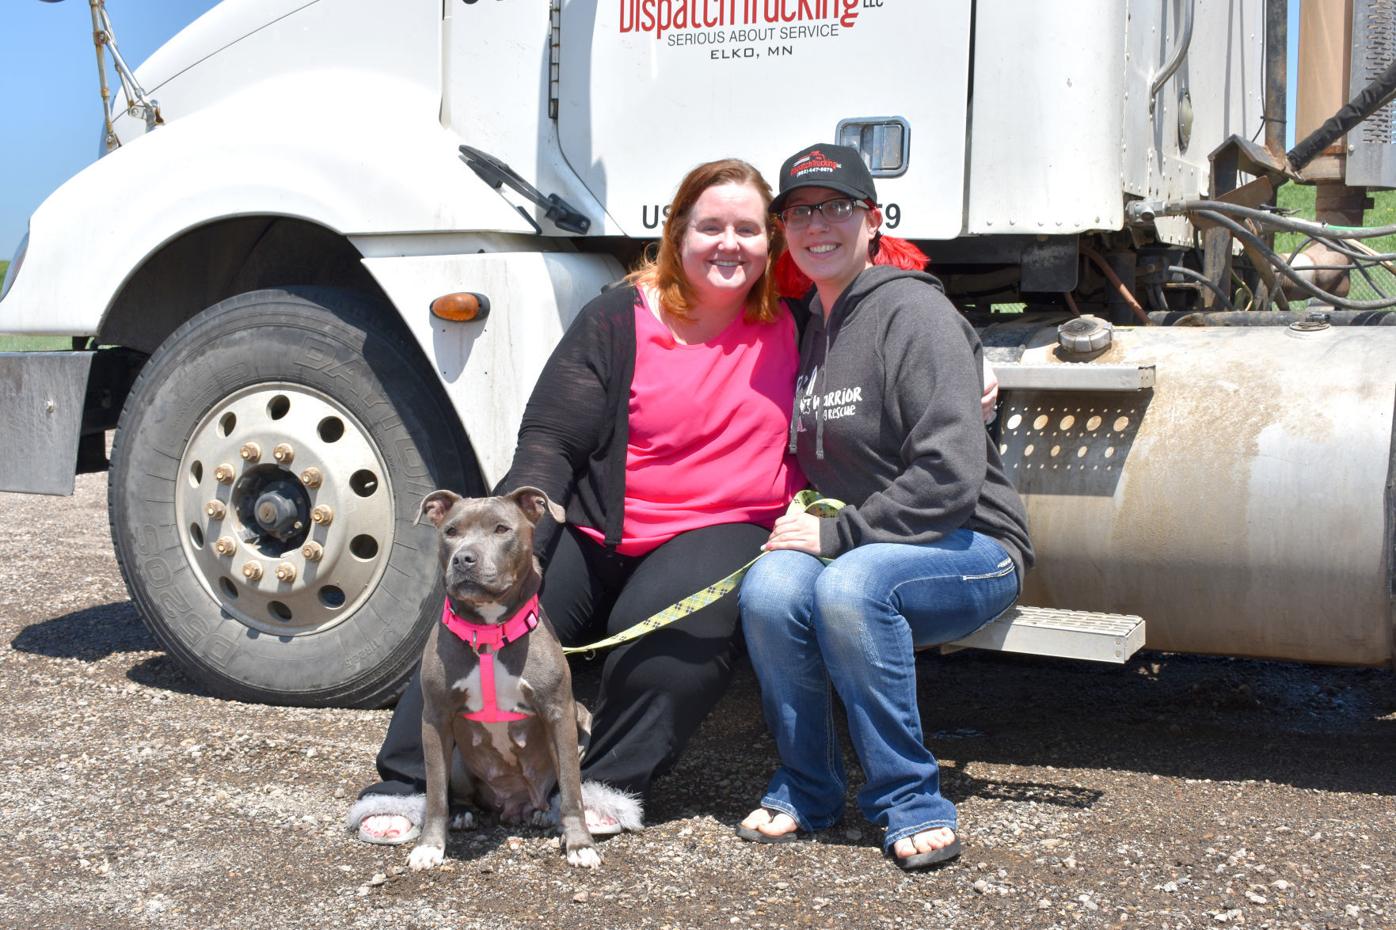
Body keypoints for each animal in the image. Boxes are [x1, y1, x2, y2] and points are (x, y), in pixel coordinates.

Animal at [402, 485, 619, 871]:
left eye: (502, 529)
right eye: (451, 531)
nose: (464, 559)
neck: (489, 629)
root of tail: (513, 804)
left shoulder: (559, 713)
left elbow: (573, 790)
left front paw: (580, 844)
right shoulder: (435, 717)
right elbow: (435, 790)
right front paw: (430, 846)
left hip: (582, 722)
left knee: (556, 789)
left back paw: (544, 814)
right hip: (458, 758)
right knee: (456, 791)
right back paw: (464, 815)